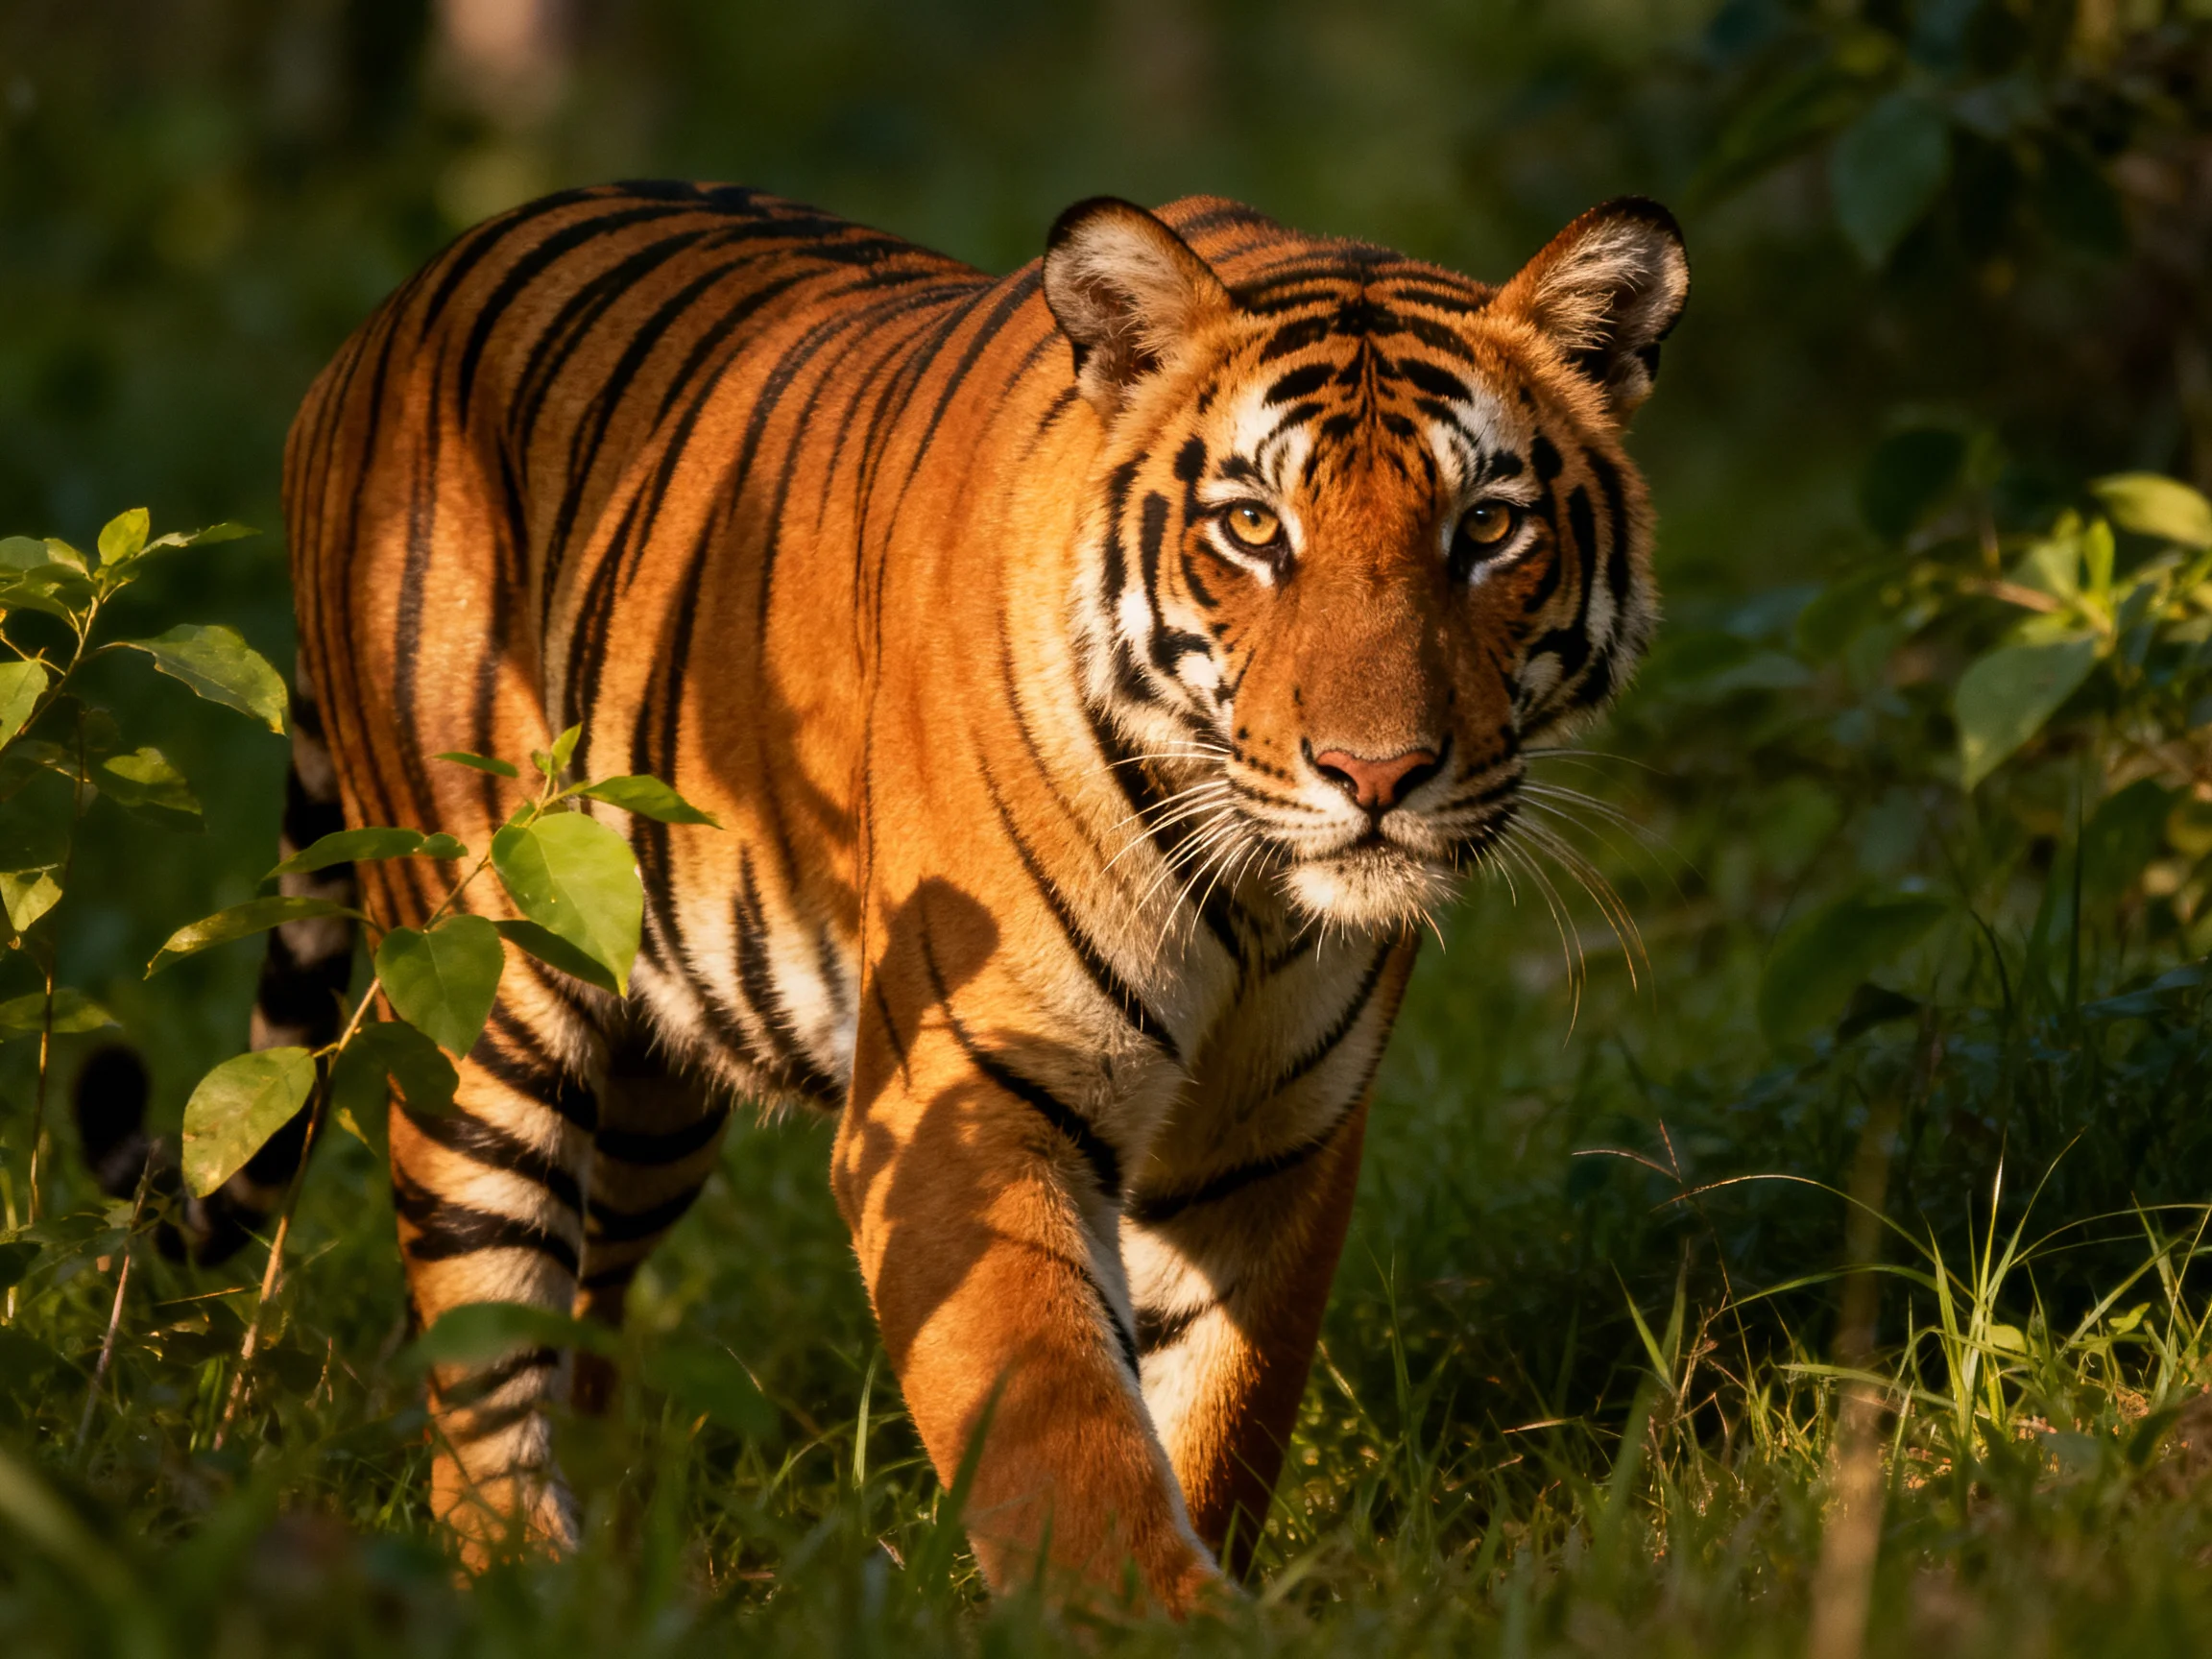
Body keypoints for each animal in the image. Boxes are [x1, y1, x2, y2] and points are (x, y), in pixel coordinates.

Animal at [108, 180, 1686, 1609]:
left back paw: (624, 1575)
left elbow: (1217, 1418)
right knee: (479, 1351)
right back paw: (522, 1584)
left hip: (656, 1093)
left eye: (1488, 529)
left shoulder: (1272, 1140)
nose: (1376, 773)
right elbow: (1066, 1447)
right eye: (1251, 528)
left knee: (584, 1320)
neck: (1249, 900)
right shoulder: (966, 1104)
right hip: (485, 993)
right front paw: (1161, 1624)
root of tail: (384, 314)